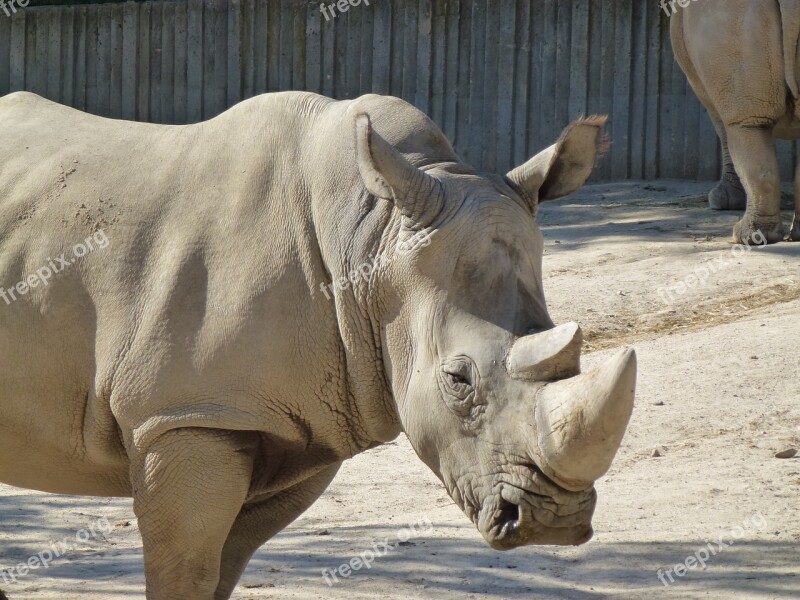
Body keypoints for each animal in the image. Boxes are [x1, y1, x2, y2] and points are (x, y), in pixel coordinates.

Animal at [0, 90, 636, 600]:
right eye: (458, 380)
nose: (553, 521)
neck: (371, 238)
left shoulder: (294, 427)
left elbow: (222, 566)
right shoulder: (186, 413)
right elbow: (185, 568)